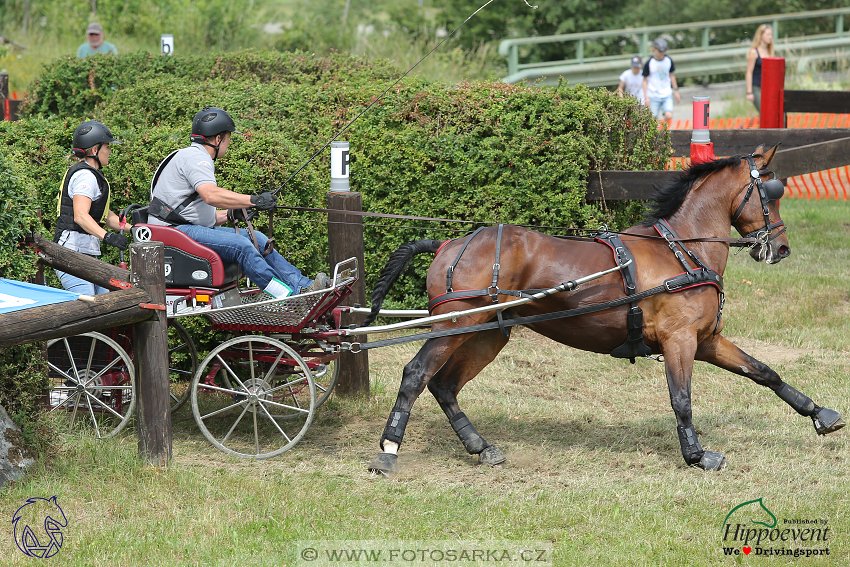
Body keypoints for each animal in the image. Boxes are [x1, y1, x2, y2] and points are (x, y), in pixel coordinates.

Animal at [362, 146, 840, 474]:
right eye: (771, 193)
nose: (781, 248)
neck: (681, 249)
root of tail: (448, 243)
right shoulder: (679, 341)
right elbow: (682, 399)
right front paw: (696, 454)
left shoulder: (705, 340)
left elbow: (763, 371)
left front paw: (820, 414)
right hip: (456, 324)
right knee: (416, 374)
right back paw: (389, 451)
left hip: (487, 333)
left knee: (444, 385)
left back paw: (480, 446)